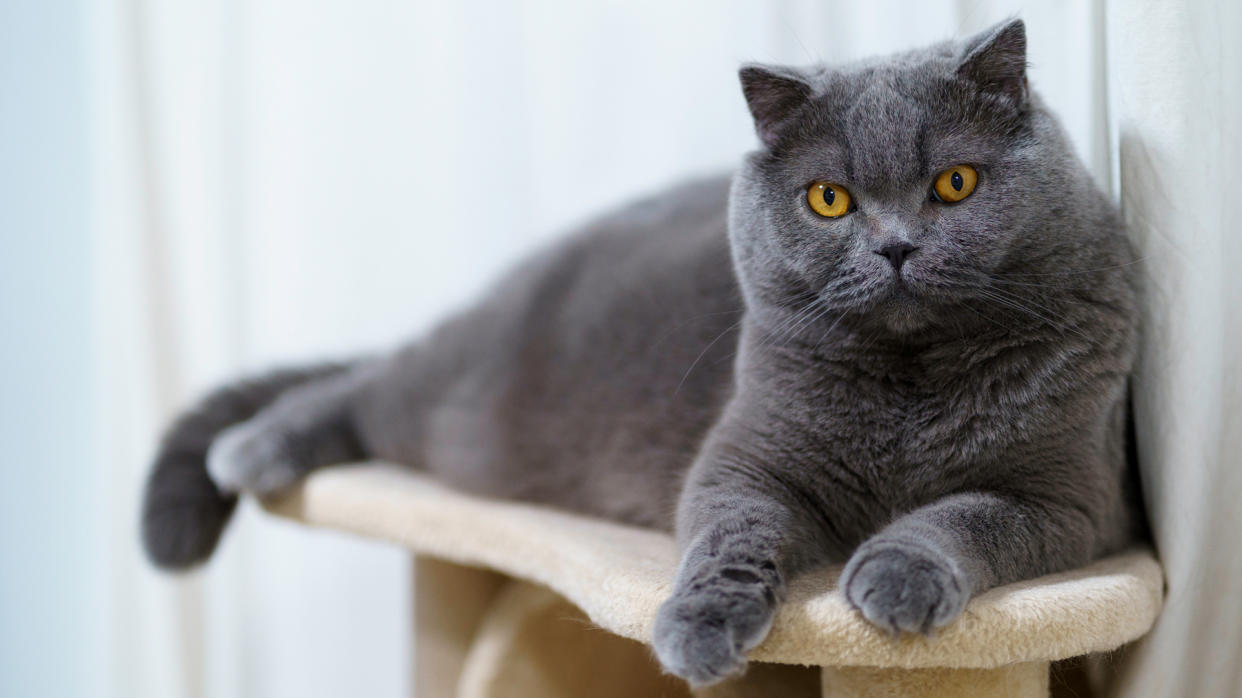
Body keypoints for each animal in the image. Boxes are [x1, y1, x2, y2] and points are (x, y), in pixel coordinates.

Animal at [140, 20, 1137, 685]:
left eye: (955, 183)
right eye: (829, 198)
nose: (893, 247)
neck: (909, 381)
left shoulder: (1072, 499)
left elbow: (966, 516)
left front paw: (894, 574)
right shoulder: (745, 456)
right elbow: (731, 528)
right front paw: (700, 627)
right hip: (468, 414)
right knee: (364, 383)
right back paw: (254, 448)